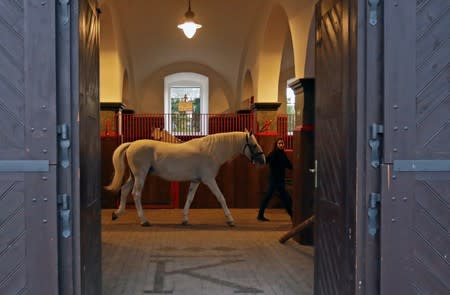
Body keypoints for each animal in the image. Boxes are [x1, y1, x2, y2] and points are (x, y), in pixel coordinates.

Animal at [103, 131, 266, 228]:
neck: (211, 151)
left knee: (124, 190)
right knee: (136, 194)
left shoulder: (196, 181)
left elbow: (189, 199)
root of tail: (131, 144)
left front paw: (185, 219)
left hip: (134, 176)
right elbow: (221, 197)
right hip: (140, 175)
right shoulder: (209, 180)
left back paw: (117, 214)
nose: (263, 160)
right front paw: (230, 220)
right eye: (253, 145)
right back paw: (144, 220)